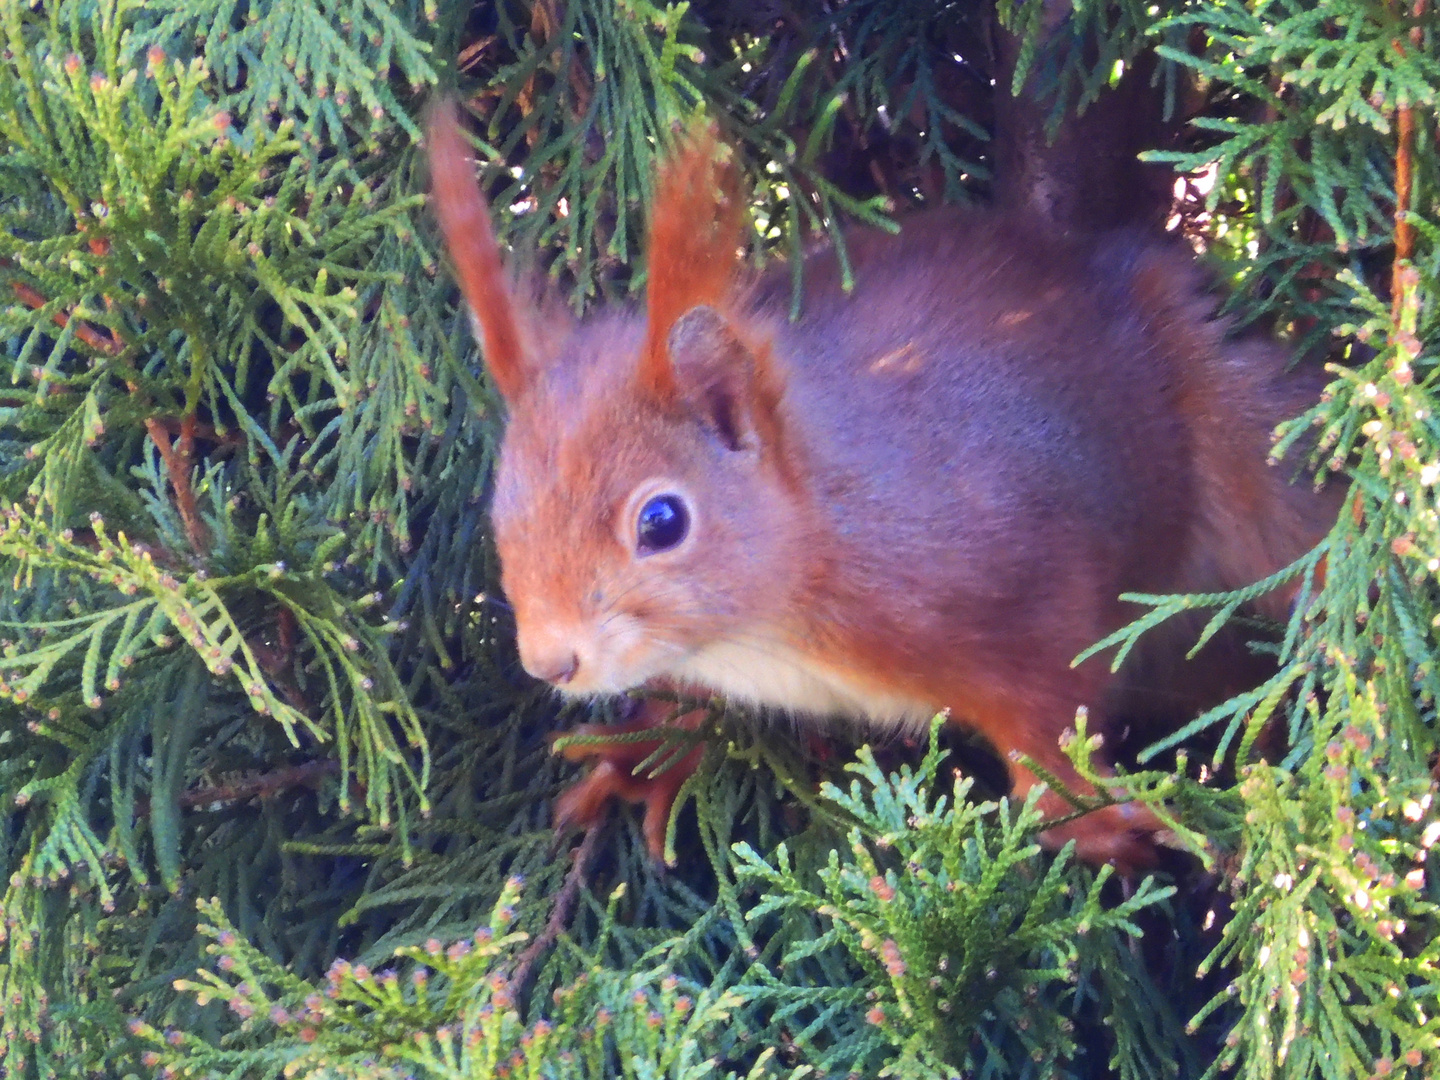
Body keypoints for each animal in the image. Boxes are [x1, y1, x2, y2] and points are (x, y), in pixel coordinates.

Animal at [423, 101, 1336, 875]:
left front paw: (1094, 821)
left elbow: (1048, 725)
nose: (552, 661)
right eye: (503, 510)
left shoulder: (1018, 589)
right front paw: (652, 750)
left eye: (661, 521)